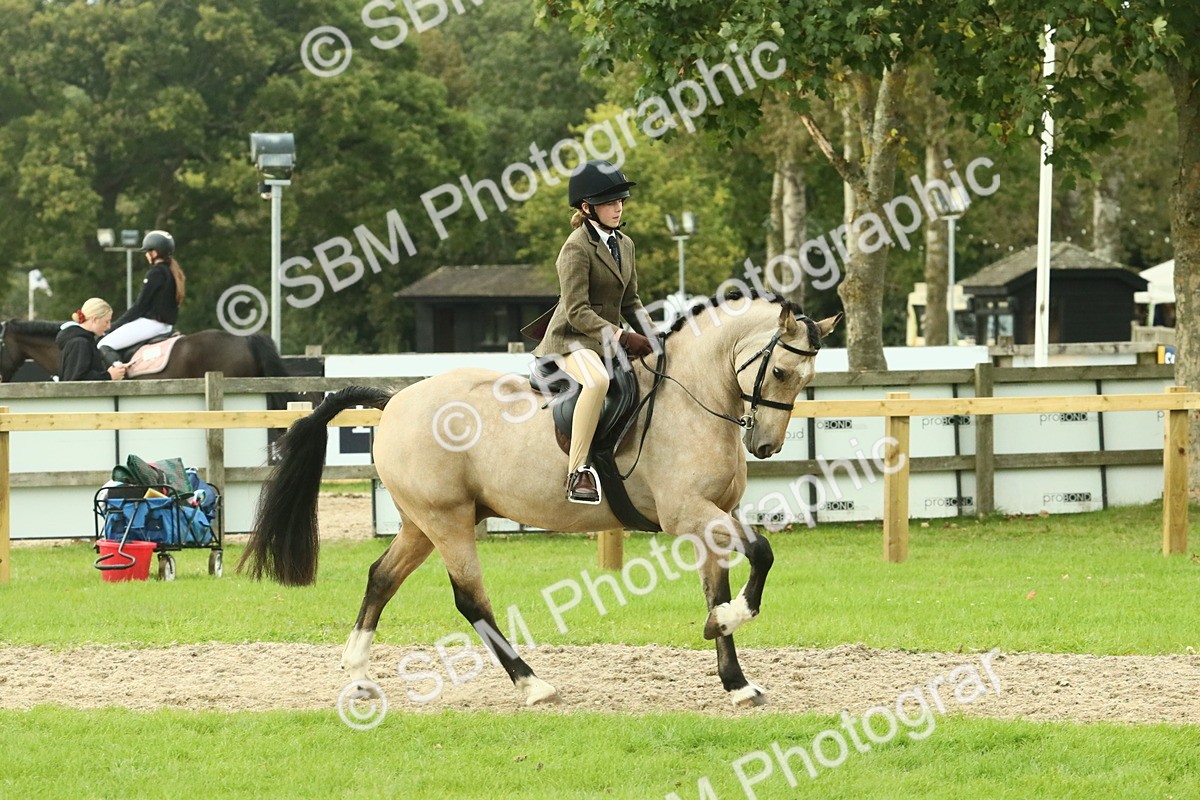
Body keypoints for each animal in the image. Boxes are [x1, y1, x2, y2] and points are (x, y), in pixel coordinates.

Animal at [241, 292, 841, 707]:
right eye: (781, 371)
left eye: (806, 378)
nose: (765, 446)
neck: (690, 399)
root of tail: (396, 401)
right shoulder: (688, 514)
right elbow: (762, 553)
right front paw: (728, 622)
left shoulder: (713, 518)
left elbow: (715, 587)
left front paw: (735, 678)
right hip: (448, 522)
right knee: (470, 600)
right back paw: (532, 685)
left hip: (421, 523)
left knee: (381, 578)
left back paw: (360, 675)